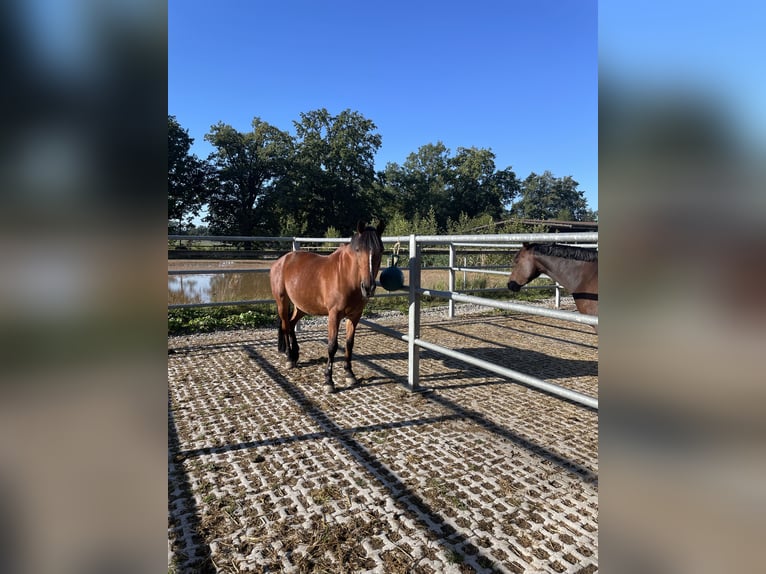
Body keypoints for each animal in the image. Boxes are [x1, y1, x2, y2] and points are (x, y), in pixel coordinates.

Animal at [272, 223, 390, 394]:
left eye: (380, 250)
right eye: (358, 250)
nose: (368, 287)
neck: (345, 276)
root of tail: (281, 261)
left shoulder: (355, 316)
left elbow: (349, 344)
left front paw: (350, 374)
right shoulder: (334, 315)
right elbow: (332, 346)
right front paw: (328, 381)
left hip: (301, 306)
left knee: (292, 323)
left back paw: (295, 355)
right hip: (282, 301)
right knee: (286, 326)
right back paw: (289, 357)